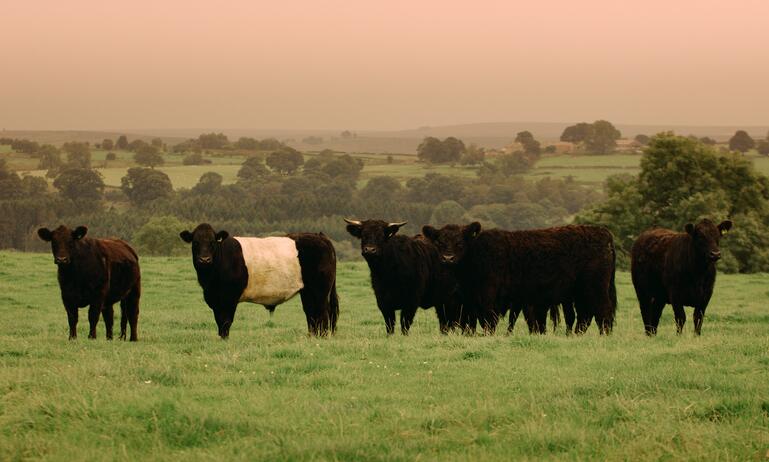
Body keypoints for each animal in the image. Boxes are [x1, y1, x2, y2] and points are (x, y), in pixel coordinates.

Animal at [180, 223, 338, 338]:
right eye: (195, 242)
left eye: (212, 242)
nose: (204, 259)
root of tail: (320, 236)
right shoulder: (216, 300)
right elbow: (219, 321)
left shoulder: (228, 298)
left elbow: (225, 322)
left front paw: (225, 340)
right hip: (308, 291)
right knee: (311, 312)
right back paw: (312, 337)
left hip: (320, 290)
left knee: (323, 312)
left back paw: (322, 337)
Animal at [423, 222, 617, 335]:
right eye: (439, 243)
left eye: (460, 243)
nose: (448, 258)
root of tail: (603, 232)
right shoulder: (471, 301)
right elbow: (471, 323)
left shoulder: (488, 298)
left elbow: (488, 322)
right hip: (579, 292)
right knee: (585, 315)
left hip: (595, 287)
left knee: (603, 312)